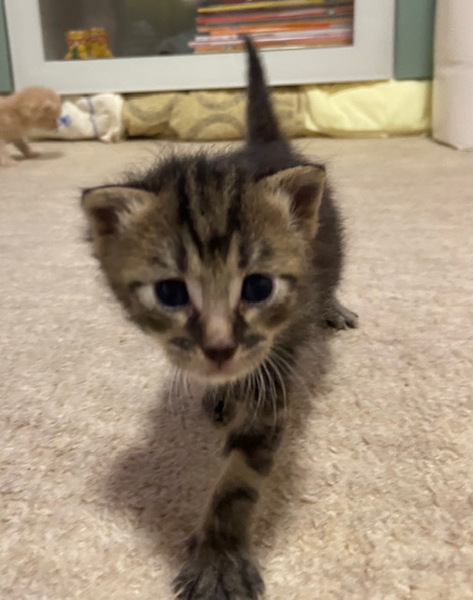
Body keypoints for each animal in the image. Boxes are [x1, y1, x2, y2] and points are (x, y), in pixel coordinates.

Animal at [82, 38, 357, 600]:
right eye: (170, 292)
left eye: (258, 287)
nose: (219, 347)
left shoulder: (279, 356)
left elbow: (240, 478)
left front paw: (220, 556)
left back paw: (332, 307)